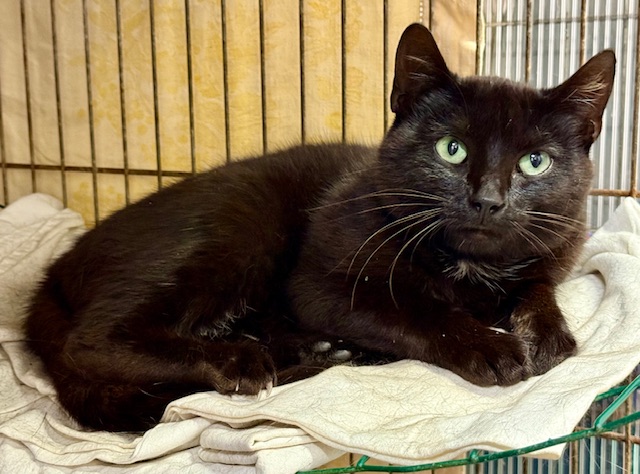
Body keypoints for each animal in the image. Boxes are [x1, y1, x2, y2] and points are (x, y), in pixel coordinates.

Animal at [25, 23, 615, 432]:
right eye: (452, 150)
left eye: (534, 162)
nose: (488, 201)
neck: (471, 267)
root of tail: (52, 275)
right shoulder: (321, 284)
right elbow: (417, 311)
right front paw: (490, 347)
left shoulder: (556, 249)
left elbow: (536, 287)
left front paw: (549, 333)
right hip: (240, 228)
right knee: (91, 339)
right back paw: (248, 358)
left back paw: (318, 350)